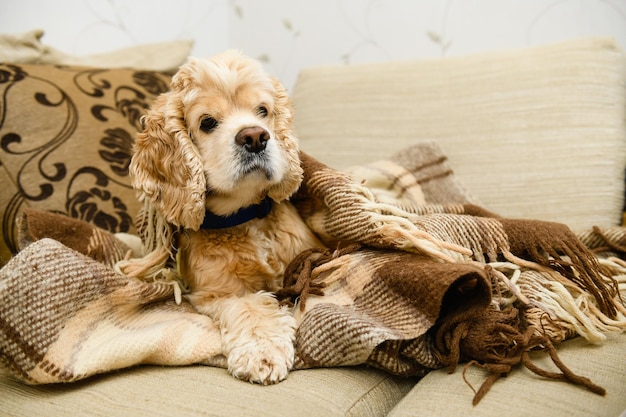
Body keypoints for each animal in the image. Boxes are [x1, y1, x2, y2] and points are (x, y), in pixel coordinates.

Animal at [127, 51, 322, 384]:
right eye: (207, 122)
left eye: (263, 111)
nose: (255, 137)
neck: (246, 218)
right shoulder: (216, 292)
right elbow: (250, 307)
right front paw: (263, 353)